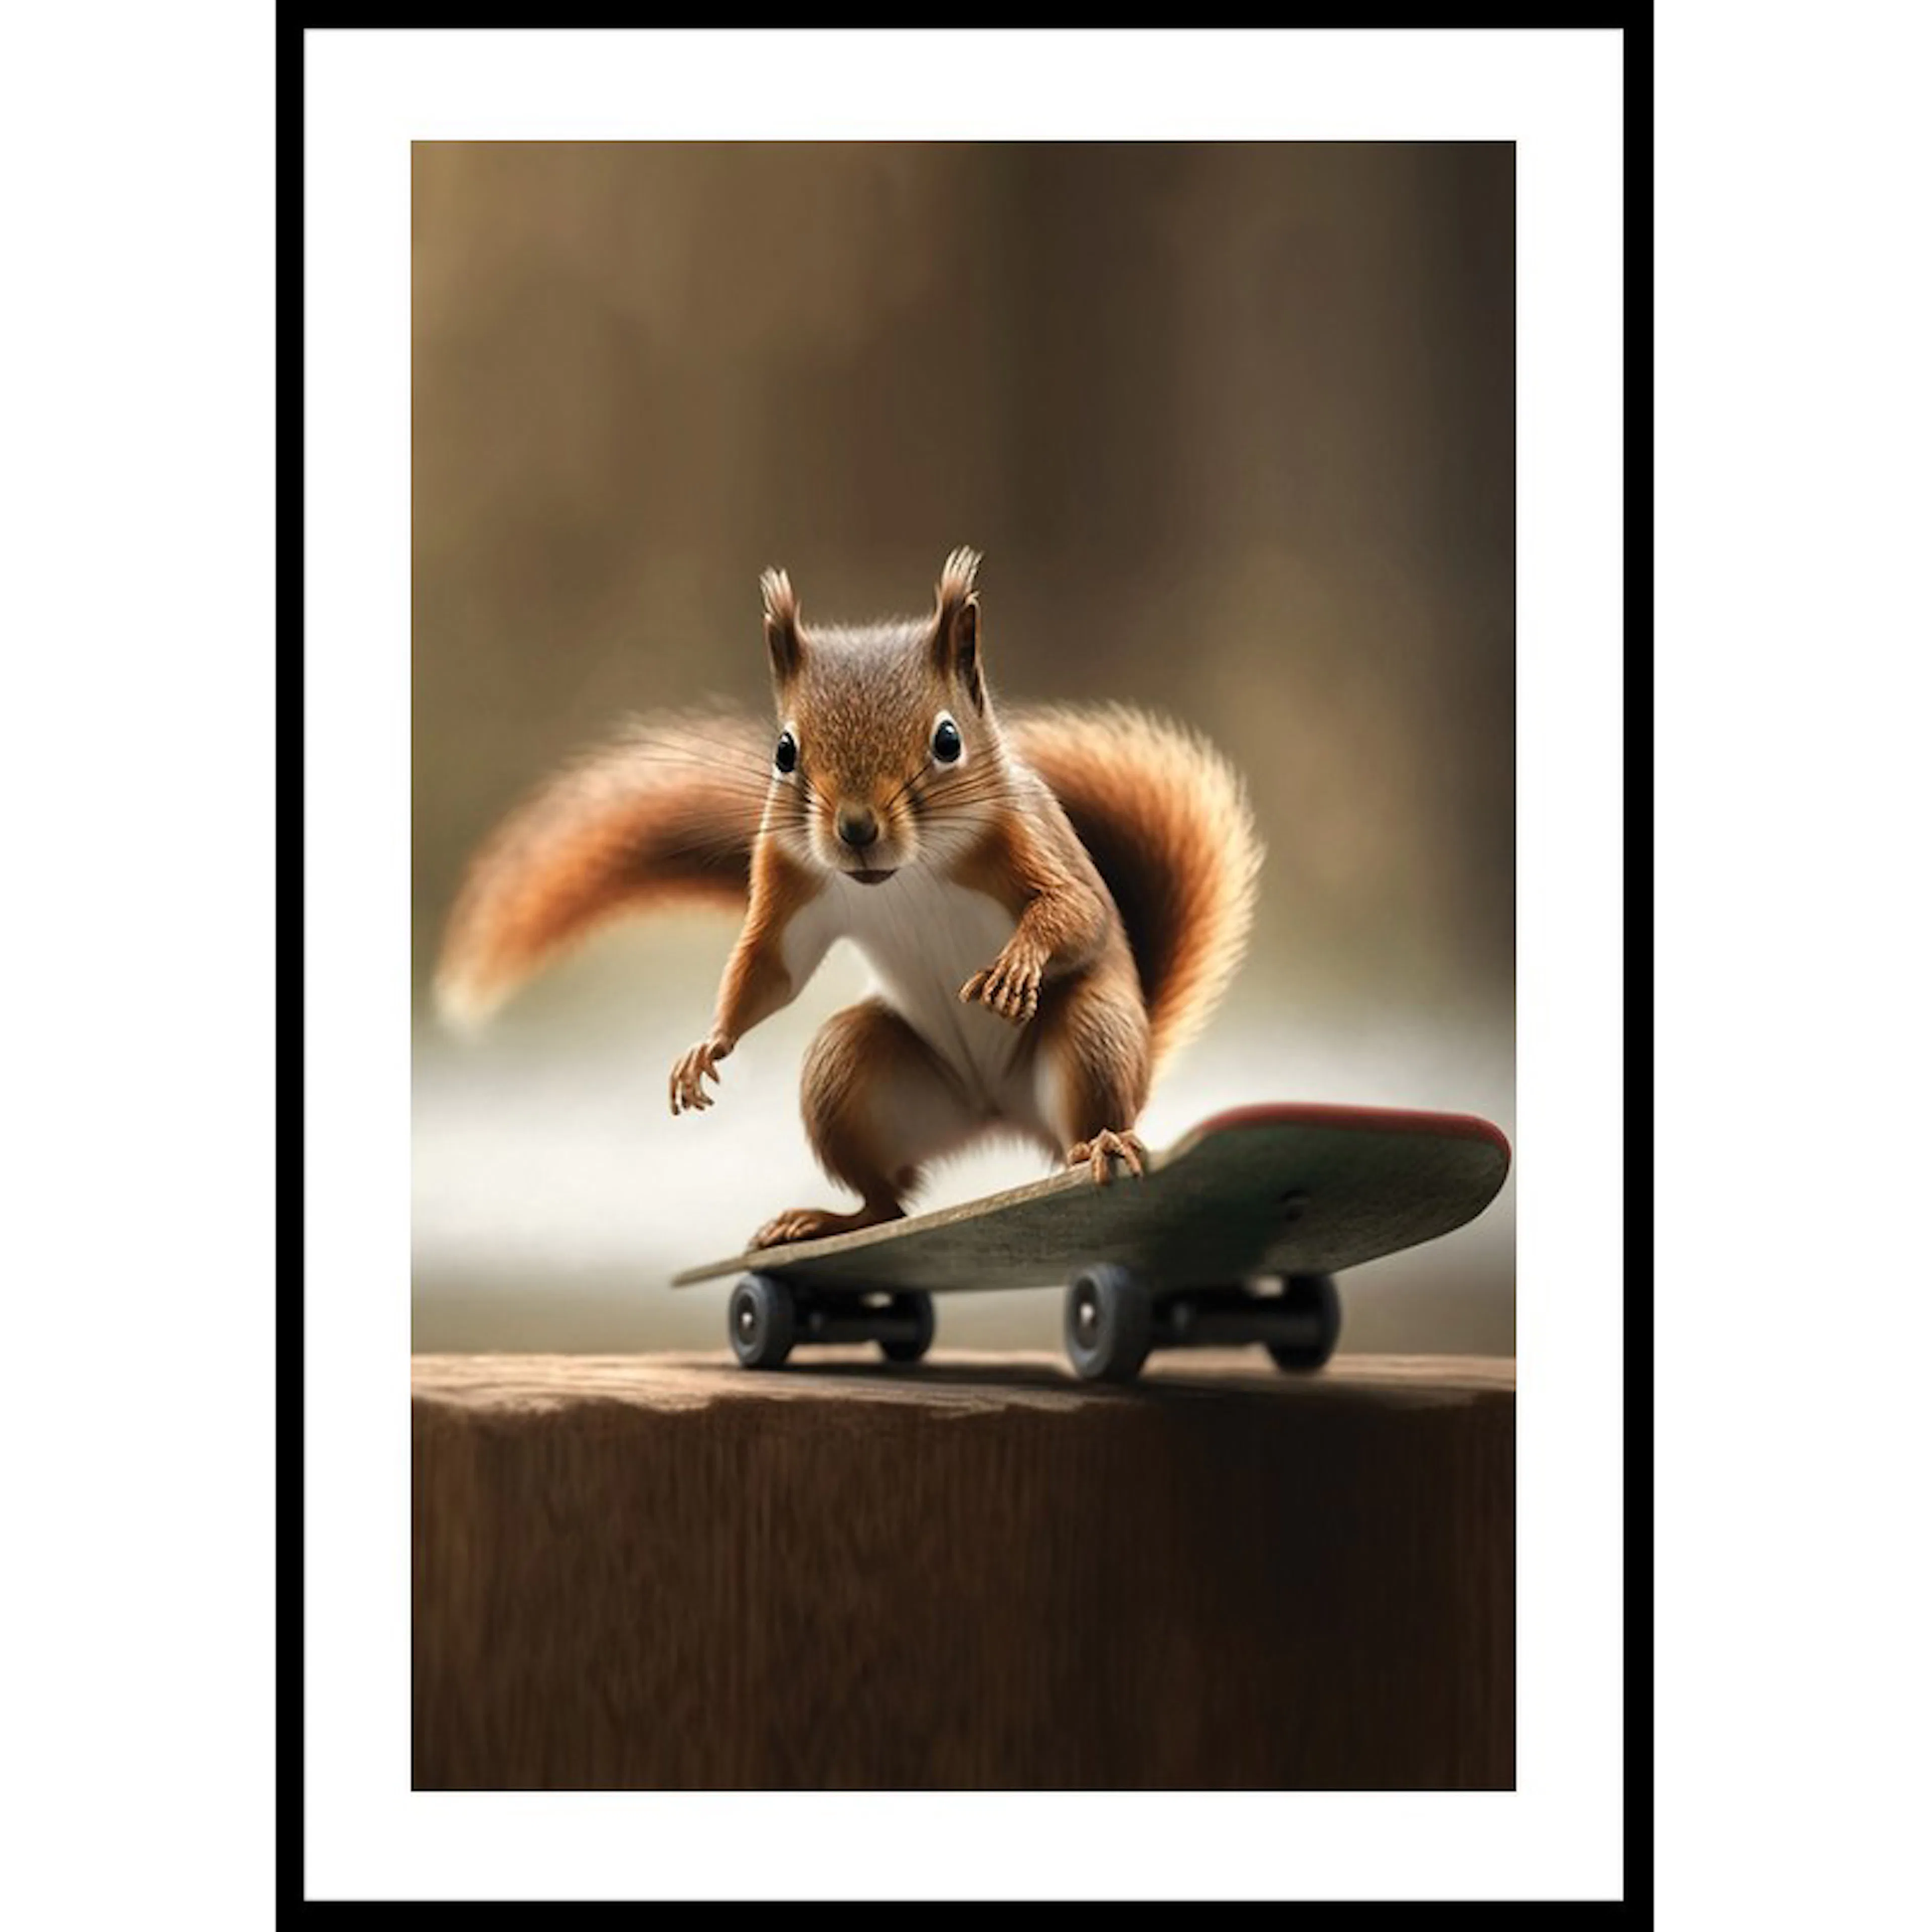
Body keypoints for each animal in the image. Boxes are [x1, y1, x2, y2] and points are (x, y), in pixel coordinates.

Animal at [434, 547, 1262, 1252]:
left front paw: (1017, 961)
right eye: (784, 751)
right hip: (852, 1072)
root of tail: (995, 1112)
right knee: (888, 1199)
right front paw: (710, 1045)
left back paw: (1103, 1142)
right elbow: (772, 965)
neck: (910, 874)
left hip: (1093, 1034)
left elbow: (1078, 911)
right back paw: (828, 1219)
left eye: (949, 741)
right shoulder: (789, 875)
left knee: (1080, 1119)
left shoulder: (1028, 843)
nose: (856, 828)